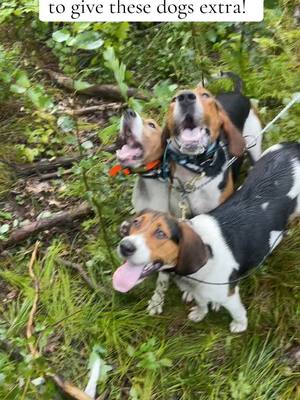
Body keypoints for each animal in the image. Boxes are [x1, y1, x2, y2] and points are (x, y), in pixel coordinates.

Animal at [113, 142, 300, 332]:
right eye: (136, 223)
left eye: (161, 233)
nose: (125, 247)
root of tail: (292, 146)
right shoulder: (199, 292)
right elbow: (202, 304)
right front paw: (199, 314)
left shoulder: (229, 296)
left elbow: (238, 312)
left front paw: (239, 325)